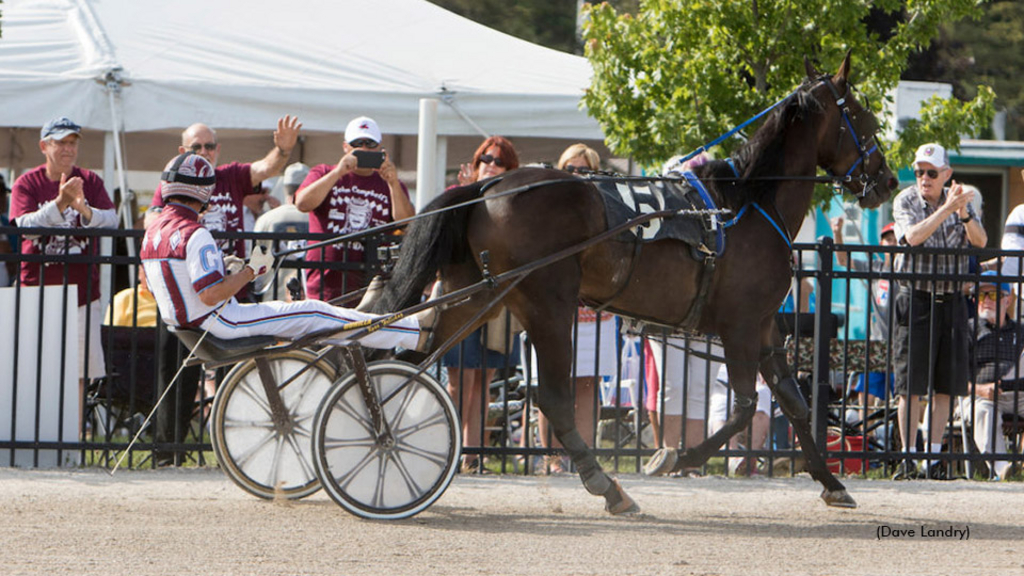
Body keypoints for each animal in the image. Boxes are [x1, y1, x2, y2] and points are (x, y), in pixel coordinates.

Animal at [374, 53, 897, 510]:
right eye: (865, 118)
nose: (889, 180)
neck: (750, 203)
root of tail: (487, 188)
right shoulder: (741, 326)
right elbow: (745, 407)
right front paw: (678, 457)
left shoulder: (766, 326)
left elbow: (794, 403)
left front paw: (832, 483)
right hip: (548, 304)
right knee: (554, 399)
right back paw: (606, 486)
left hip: (474, 295)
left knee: (415, 362)